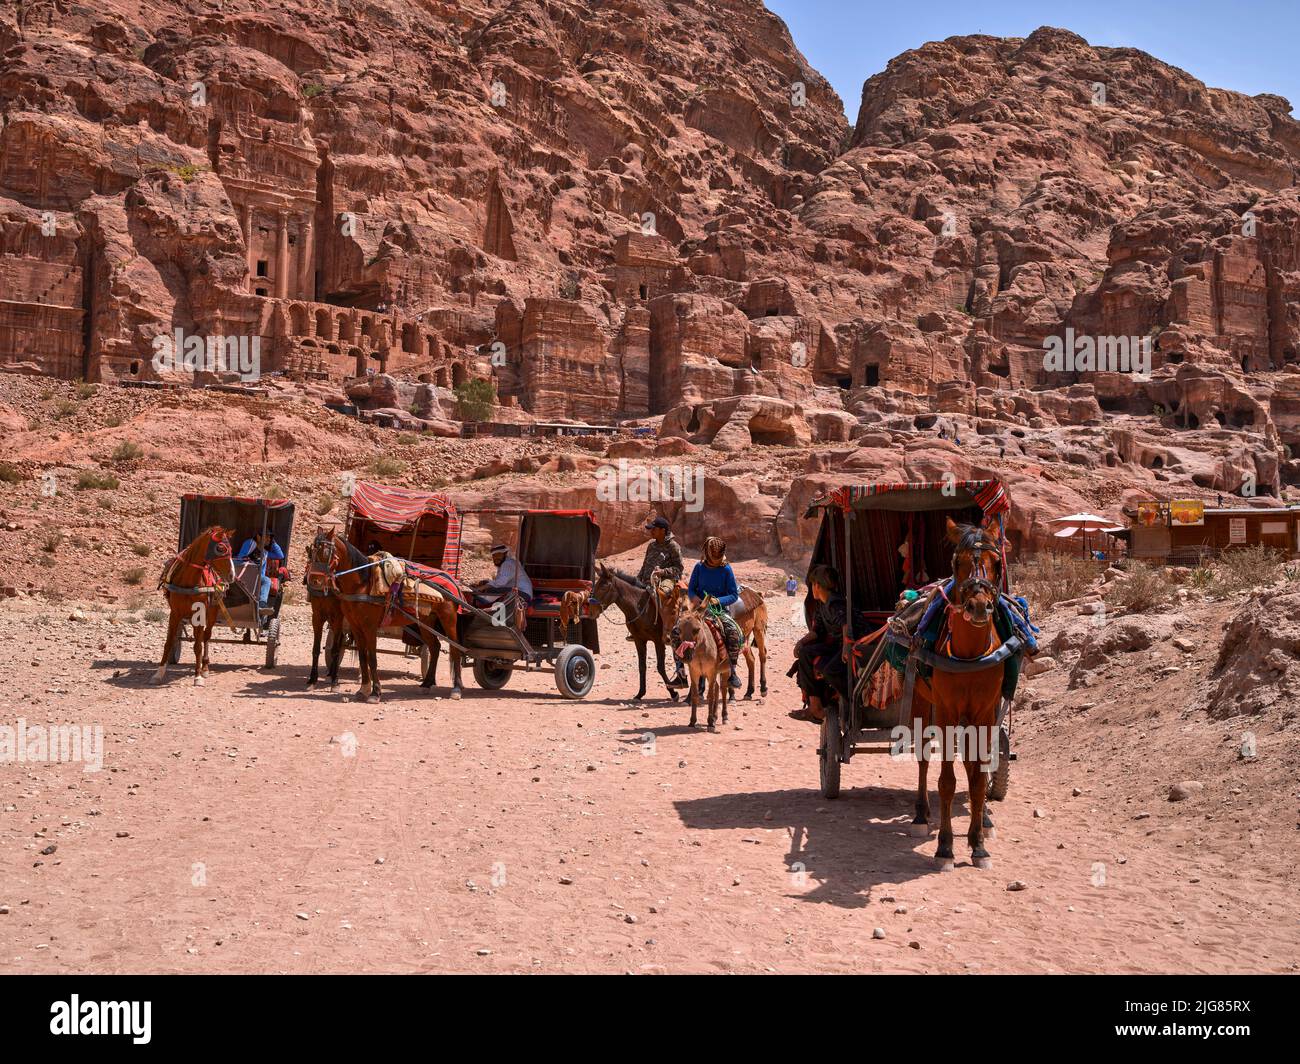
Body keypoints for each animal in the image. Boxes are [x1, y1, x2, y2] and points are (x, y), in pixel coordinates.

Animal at [157, 525, 239, 681]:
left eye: (231, 548)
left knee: (206, 637)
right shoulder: (175, 613)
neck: (187, 580)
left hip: (212, 612)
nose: (232, 575)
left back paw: (205, 667)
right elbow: (169, 642)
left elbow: (198, 646)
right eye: (221, 548)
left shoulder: (201, 613)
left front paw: (198, 676)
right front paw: (159, 672)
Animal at [301, 530, 348, 686]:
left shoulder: (338, 617)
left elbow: (335, 649)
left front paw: (334, 679)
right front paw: (313, 678)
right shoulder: (317, 616)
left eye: (328, 553)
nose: (315, 581)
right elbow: (316, 648)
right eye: (311, 552)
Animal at [308, 525, 462, 702]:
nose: (314, 581)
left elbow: (372, 658)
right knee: (435, 647)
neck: (363, 584)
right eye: (311, 551)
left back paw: (456, 689)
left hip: (448, 619)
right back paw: (426, 684)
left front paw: (376, 693)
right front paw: (363, 689)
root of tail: (451, 580)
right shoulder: (355, 626)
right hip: (426, 622)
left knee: (455, 649)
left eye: (326, 552)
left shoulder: (369, 627)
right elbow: (363, 656)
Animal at [670, 600, 733, 733]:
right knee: (717, 688)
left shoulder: (711, 672)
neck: (699, 652)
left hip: (725, 670)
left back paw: (724, 716)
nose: (686, 655)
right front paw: (692, 721)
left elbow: (710, 696)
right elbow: (695, 695)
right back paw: (715, 716)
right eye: (679, 629)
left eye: (697, 629)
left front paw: (710, 723)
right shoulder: (695, 672)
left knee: (723, 690)